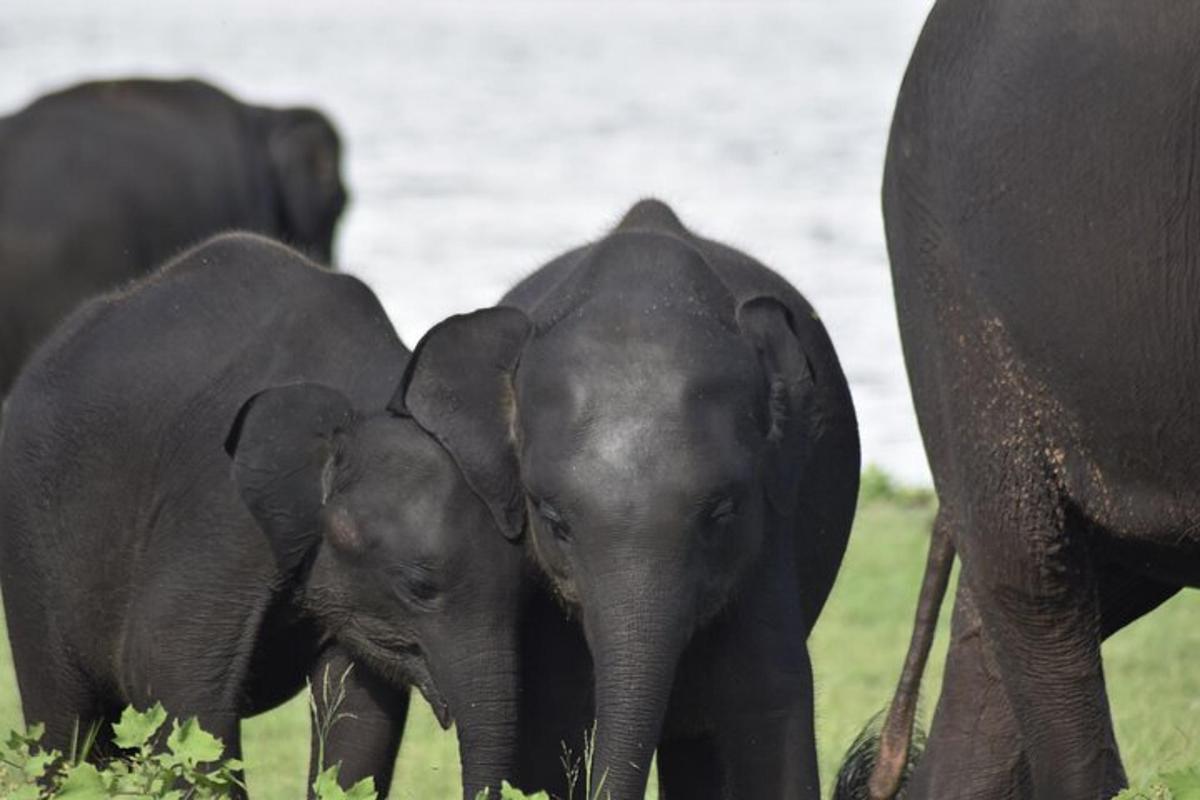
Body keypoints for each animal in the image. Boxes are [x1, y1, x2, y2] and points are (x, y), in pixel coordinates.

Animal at [1, 232, 525, 800]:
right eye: (418, 587)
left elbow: (360, 713)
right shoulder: (220, 511)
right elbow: (169, 672)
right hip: (27, 538)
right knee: (66, 727)